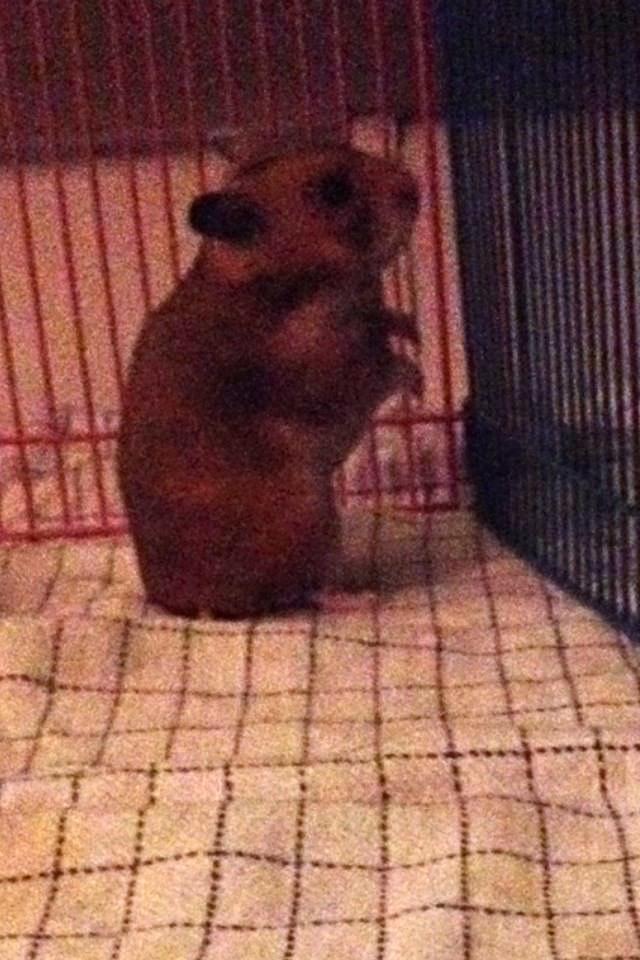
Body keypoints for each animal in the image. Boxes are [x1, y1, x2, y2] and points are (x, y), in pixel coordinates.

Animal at [117, 143, 421, 618]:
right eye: (334, 191)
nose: (417, 187)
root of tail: (183, 604)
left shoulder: (369, 320)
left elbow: (386, 319)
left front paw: (415, 331)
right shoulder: (333, 377)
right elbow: (387, 368)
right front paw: (420, 381)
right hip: (310, 515)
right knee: (304, 591)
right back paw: (364, 598)